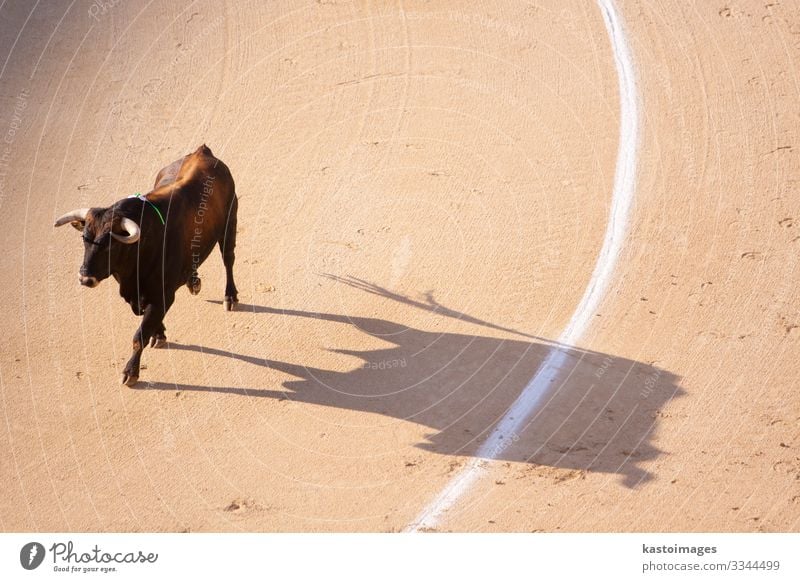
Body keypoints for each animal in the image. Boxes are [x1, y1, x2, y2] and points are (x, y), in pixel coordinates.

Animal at [54, 145, 238, 388]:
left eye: (109, 244)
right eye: (85, 238)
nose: (85, 278)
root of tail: (203, 151)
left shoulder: (163, 295)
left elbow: (139, 336)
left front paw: (130, 372)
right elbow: (150, 323)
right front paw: (159, 335)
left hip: (230, 223)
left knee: (228, 260)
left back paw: (230, 297)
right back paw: (193, 281)